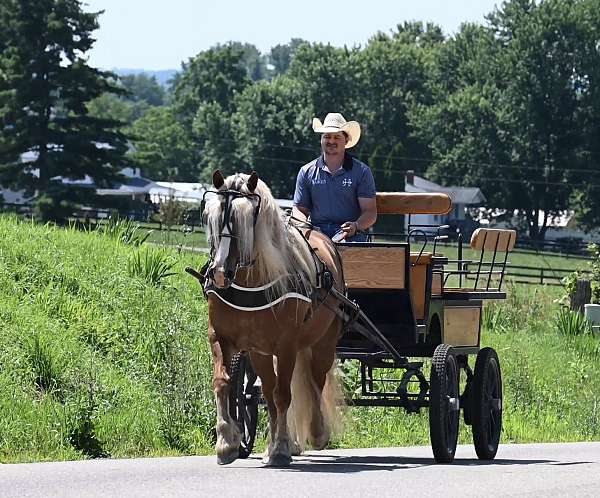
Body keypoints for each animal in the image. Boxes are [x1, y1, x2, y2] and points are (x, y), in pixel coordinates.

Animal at [190, 171, 344, 466]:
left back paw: (317, 432)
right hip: (260, 352)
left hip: (323, 342)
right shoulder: (220, 337)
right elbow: (224, 383)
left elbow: (284, 395)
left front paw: (282, 448)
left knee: (315, 382)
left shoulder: (286, 346)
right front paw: (227, 441)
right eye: (213, 216)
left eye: (245, 220)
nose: (219, 273)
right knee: (269, 392)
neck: (251, 283)